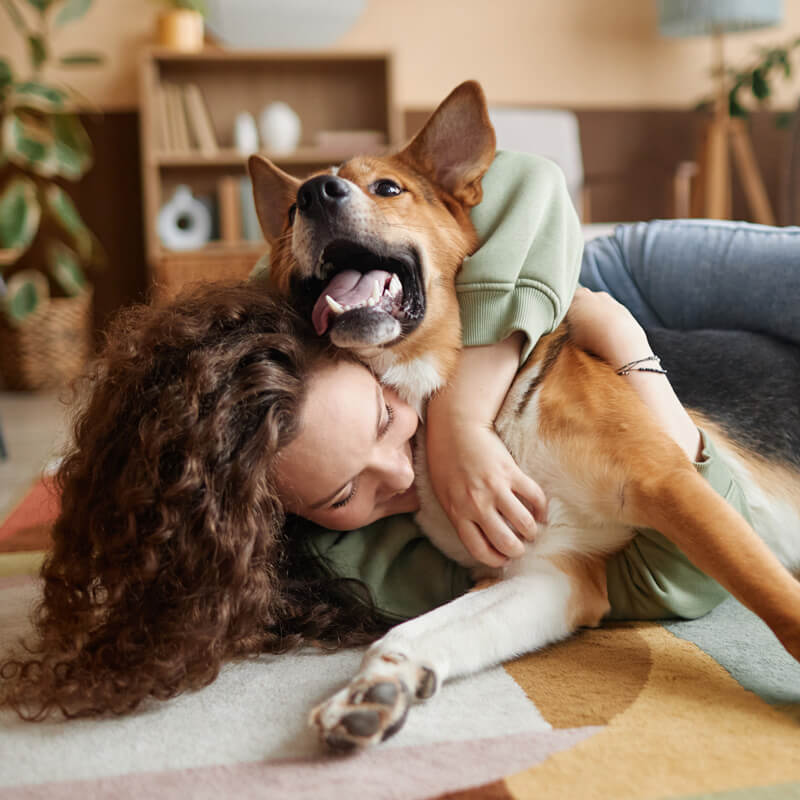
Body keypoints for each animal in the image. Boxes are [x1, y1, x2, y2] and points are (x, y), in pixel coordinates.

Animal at [248, 81, 800, 752]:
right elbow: (413, 632)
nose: (313, 194)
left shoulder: (667, 483)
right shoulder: (550, 573)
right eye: (287, 217)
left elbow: (773, 596)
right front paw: (379, 687)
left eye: (387, 188)